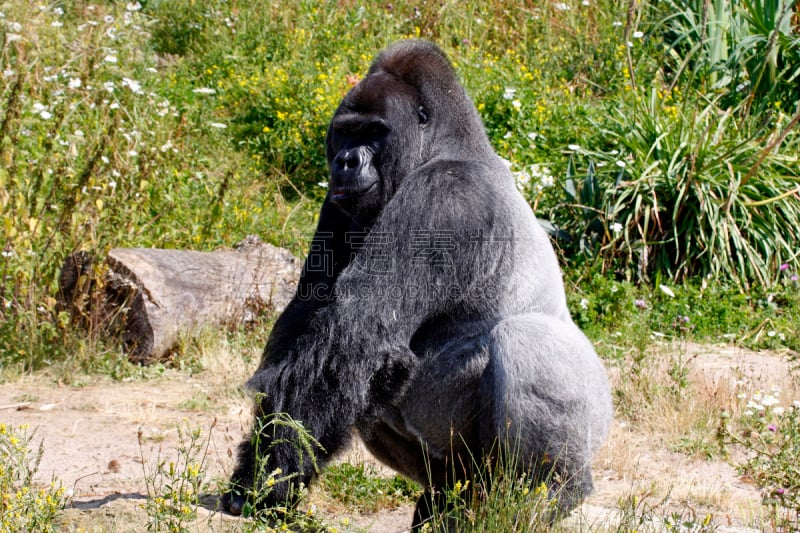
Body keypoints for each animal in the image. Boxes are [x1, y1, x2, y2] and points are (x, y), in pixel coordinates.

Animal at [222, 39, 608, 524]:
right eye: (345, 133)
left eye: (373, 132)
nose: (345, 161)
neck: (444, 145)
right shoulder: (339, 202)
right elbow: (308, 322)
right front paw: (261, 466)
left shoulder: (444, 193)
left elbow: (354, 334)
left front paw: (266, 481)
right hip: (464, 472)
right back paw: (446, 503)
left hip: (592, 416)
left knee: (527, 340)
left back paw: (551, 492)